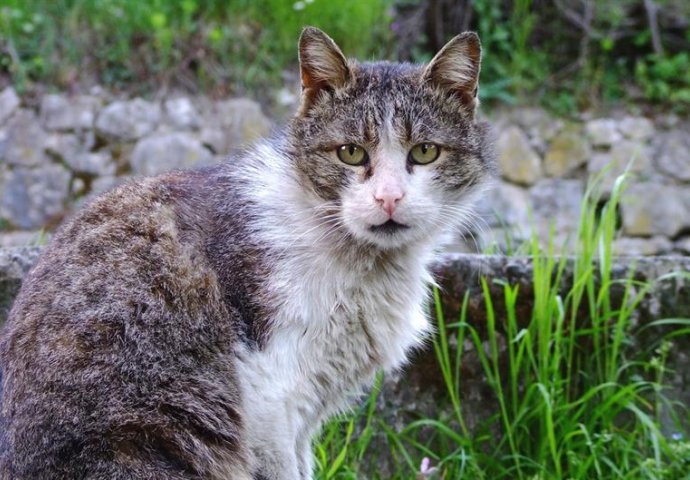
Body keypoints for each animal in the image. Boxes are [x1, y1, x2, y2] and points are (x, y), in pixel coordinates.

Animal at [0, 27, 494, 480]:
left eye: (425, 152)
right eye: (351, 153)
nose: (389, 198)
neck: (363, 264)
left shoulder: (303, 416)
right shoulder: (268, 395)